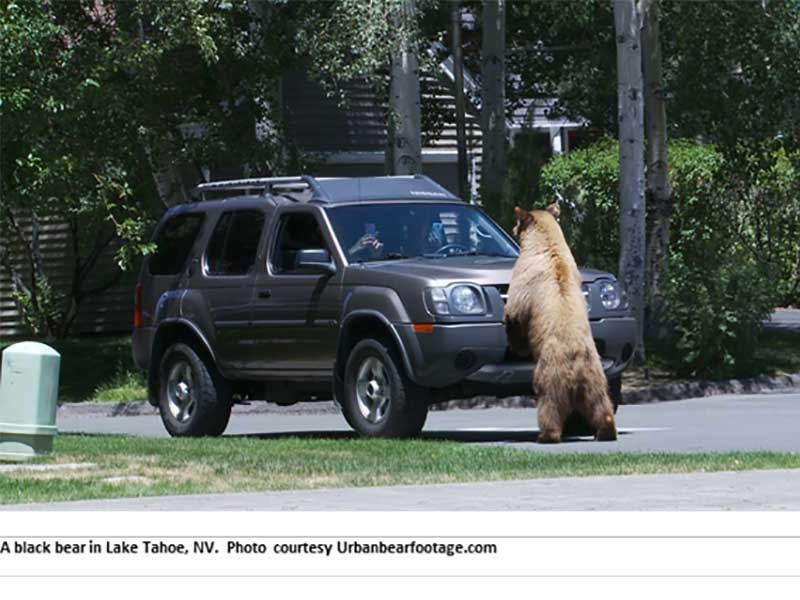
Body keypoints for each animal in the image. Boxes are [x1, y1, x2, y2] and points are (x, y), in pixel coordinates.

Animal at [504, 202, 617, 443]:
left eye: (518, 221)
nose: (513, 227)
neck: (547, 245)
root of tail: (576, 367)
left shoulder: (524, 278)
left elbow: (515, 313)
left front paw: (516, 343)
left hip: (549, 373)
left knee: (549, 404)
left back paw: (546, 435)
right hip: (596, 377)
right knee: (601, 403)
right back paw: (606, 430)